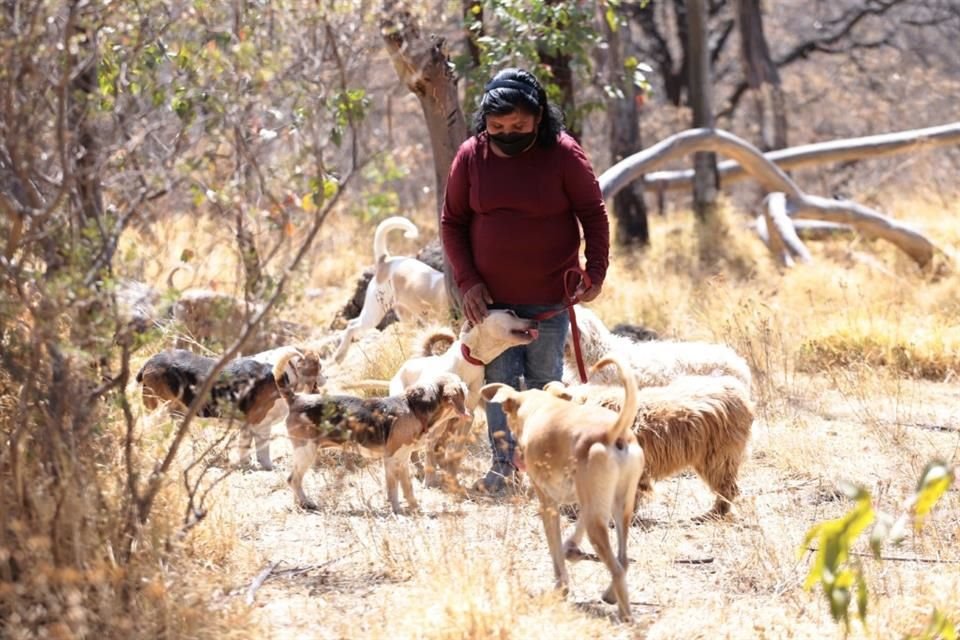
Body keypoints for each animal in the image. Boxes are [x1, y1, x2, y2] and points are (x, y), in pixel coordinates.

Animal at [272, 350, 470, 516]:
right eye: (461, 386)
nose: (469, 386)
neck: (414, 408)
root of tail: (296, 398)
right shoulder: (390, 459)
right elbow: (393, 489)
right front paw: (397, 511)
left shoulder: (403, 460)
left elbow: (407, 488)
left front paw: (415, 508)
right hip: (306, 451)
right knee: (293, 479)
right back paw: (307, 503)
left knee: (294, 481)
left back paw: (301, 505)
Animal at [334, 216, 450, 362]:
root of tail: (386, 261)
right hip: (375, 313)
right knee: (352, 326)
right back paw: (340, 355)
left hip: (403, 316)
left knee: (353, 322)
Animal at [480, 356, 644, 620]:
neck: (541, 407)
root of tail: (612, 433)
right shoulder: (585, 501)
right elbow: (572, 536)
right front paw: (571, 550)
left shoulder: (548, 503)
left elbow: (555, 552)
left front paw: (561, 587)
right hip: (620, 508)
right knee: (623, 560)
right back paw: (612, 596)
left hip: (598, 523)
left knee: (617, 568)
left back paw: (626, 615)